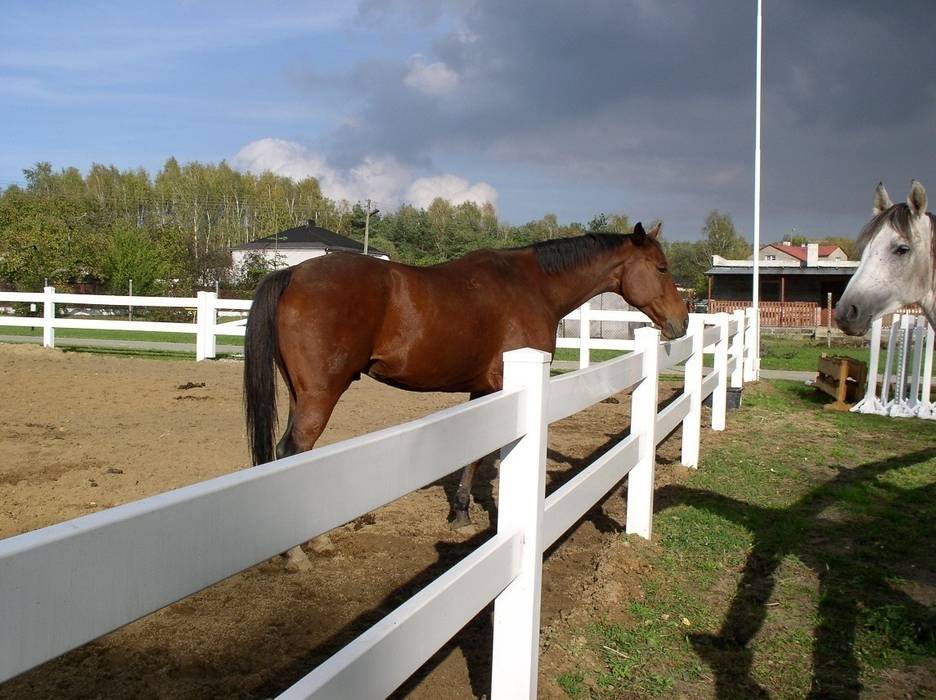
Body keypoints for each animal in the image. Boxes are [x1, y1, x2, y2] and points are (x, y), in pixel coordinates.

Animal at [245, 219, 688, 556]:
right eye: (661, 268)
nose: (681, 322)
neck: (532, 286)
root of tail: (293, 273)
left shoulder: (486, 390)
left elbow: (475, 456)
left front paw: (460, 513)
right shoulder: (505, 387)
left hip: (301, 394)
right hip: (320, 395)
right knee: (293, 451)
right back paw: (299, 551)